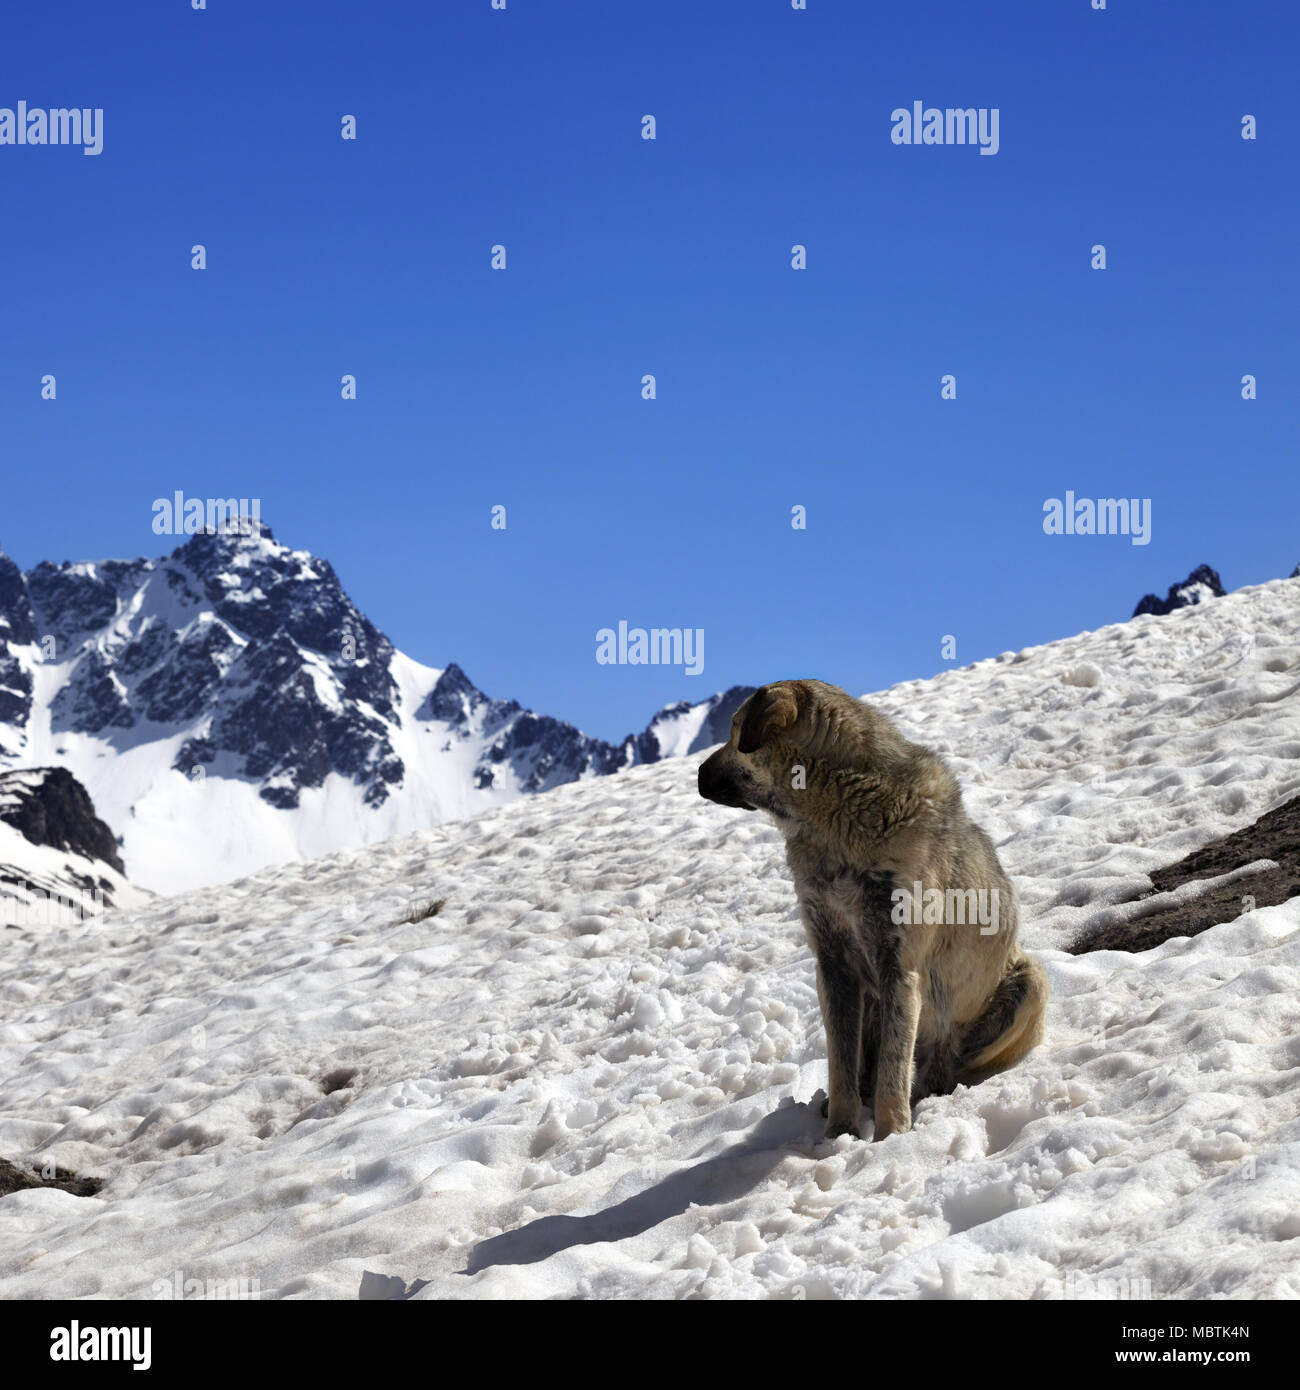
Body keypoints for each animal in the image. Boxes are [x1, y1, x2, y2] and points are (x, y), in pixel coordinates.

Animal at [700, 681, 1045, 1139]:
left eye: (736, 730)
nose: (697, 775)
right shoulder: (833, 966)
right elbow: (841, 1063)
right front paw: (839, 1135)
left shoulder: (899, 966)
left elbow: (892, 1068)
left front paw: (890, 1137)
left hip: (1031, 982)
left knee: (944, 1066)